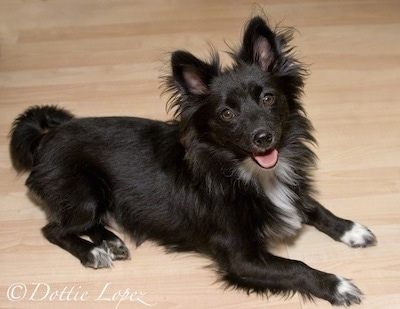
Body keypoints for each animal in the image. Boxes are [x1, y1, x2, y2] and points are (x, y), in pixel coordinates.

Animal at [10, 16, 378, 306]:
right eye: (227, 114)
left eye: (269, 98)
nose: (263, 138)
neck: (246, 171)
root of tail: (45, 138)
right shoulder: (242, 260)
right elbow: (296, 267)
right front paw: (337, 285)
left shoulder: (291, 191)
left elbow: (312, 205)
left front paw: (350, 229)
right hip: (86, 195)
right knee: (53, 229)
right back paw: (92, 252)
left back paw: (111, 241)